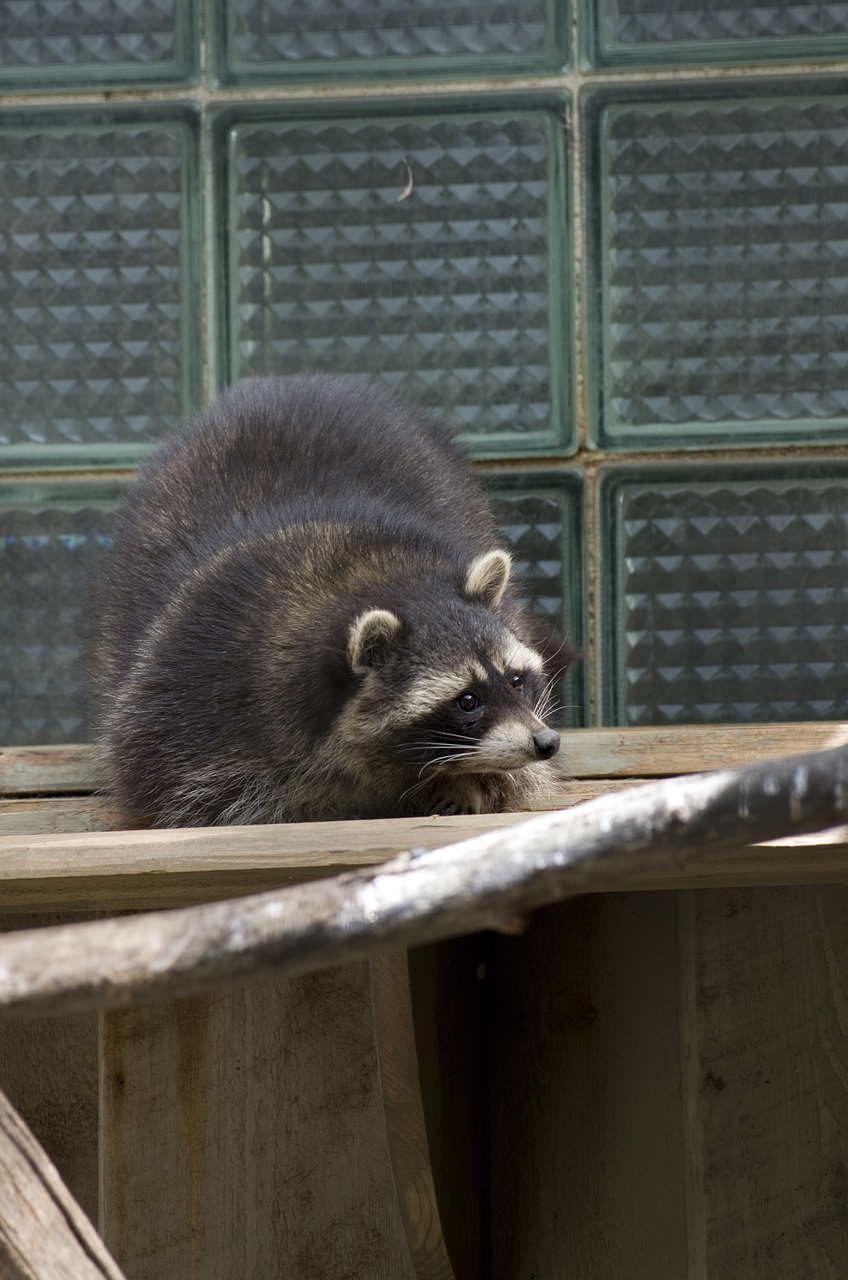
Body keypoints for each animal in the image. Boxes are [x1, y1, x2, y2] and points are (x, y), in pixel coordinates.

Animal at [92, 373, 568, 824]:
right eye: (467, 700)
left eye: (516, 679)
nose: (545, 742)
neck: (376, 579)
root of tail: (297, 383)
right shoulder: (193, 686)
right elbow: (188, 794)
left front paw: (467, 782)